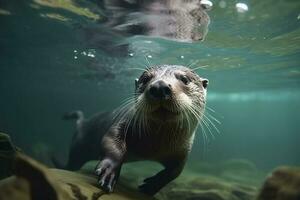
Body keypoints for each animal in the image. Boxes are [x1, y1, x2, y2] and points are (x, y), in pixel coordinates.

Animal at [58, 65, 209, 195]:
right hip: (77, 149)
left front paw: (151, 186)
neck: (154, 147)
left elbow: (175, 172)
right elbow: (111, 142)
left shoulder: (183, 150)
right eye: (146, 79)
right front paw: (109, 171)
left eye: (185, 79)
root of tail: (82, 123)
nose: (159, 86)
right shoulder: (124, 123)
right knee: (71, 164)